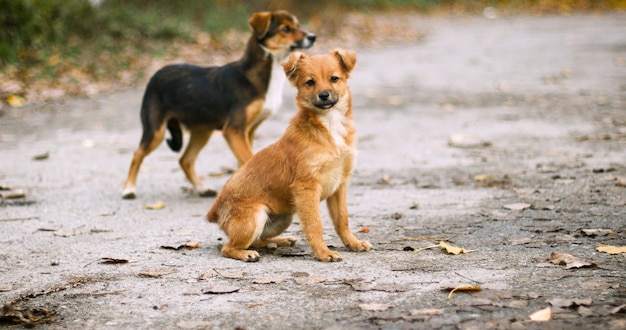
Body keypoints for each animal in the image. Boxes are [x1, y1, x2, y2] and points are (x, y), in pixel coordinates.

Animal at [121, 10, 314, 200]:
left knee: (185, 160)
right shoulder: (234, 130)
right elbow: (248, 159)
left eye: (297, 25)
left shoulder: (248, 131)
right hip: (156, 131)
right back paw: (129, 189)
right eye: (285, 29)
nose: (313, 36)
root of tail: (156, 74)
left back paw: (202, 188)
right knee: (137, 155)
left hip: (202, 131)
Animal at [205, 49, 370, 262]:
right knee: (228, 247)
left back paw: (279, 241)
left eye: (334, 78)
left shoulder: (339, 185)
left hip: (284, 217)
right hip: (256, 216)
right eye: (310, 82)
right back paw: (246, 254)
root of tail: (215, 211)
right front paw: (323, 252)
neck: (329, 125)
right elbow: (315, 224)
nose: (324, 95)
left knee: (258, 240)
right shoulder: (306, 188)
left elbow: (342, 219)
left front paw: (353, 243)